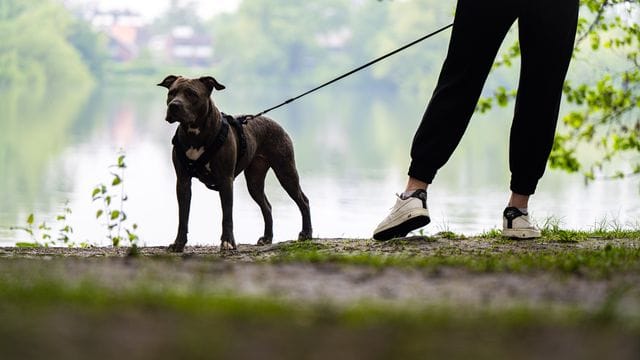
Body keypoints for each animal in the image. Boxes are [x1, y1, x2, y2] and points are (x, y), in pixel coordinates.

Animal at [158, 75, 312, 252]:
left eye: (192, 94)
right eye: (171, 92)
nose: (174, 105)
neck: (194, 133)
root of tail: (274, 121)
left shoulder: (226, 180)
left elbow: (227, 215)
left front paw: (228, 242)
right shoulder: (183, 181)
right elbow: (183, 217)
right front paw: (178, 243)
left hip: (285, 171)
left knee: (303, 201)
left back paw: (306, 233)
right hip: (254, 181)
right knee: (267, 206)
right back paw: (267, 238)